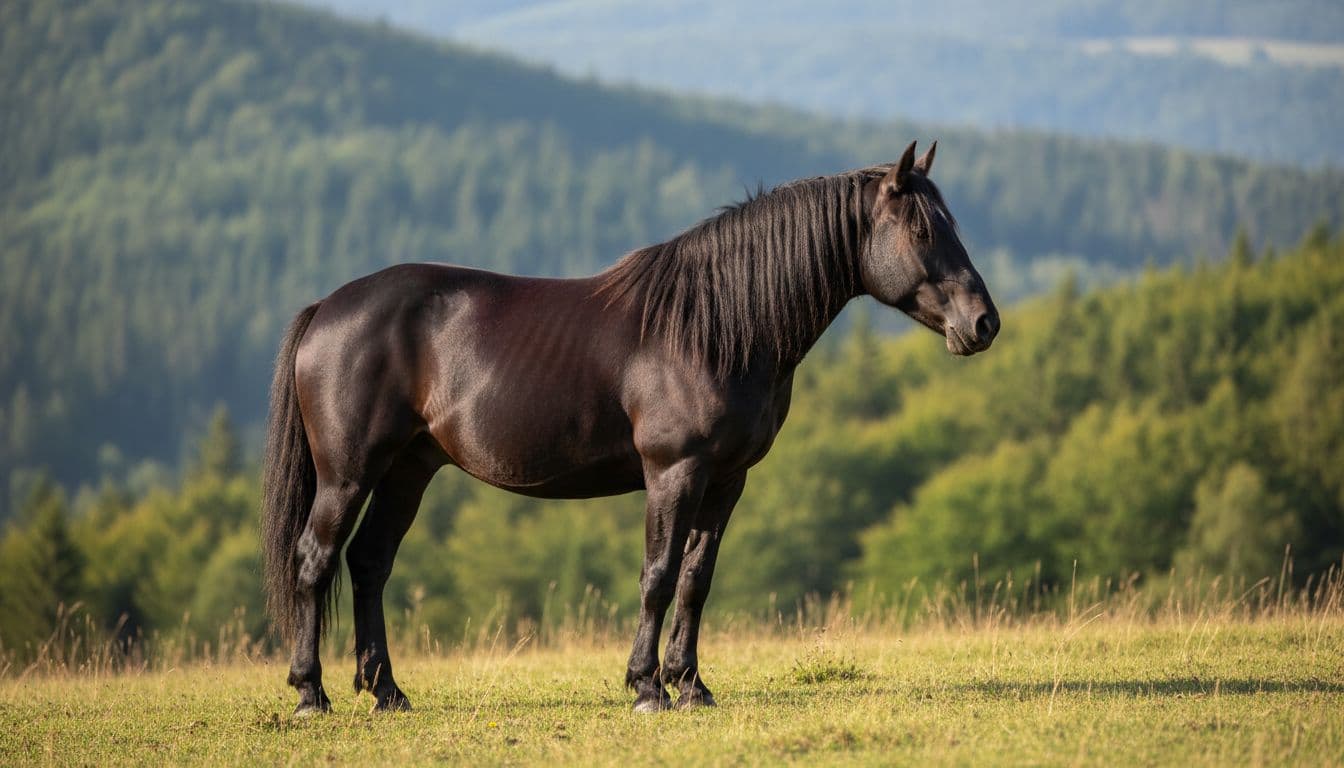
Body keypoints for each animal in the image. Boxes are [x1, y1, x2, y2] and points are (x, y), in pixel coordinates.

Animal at [261, 140, 999, 715]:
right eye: (924, 232)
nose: (984, 322)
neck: (715, 325)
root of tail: (328, 307)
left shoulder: (725, 481)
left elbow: (697, 581)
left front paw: (692, 686)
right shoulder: (675, 471)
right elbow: (659, 574)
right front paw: (648, 688)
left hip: (408, 469)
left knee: (369, 562)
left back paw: (386, 692)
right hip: (348, 473)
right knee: (315, 560)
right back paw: (311, 694)